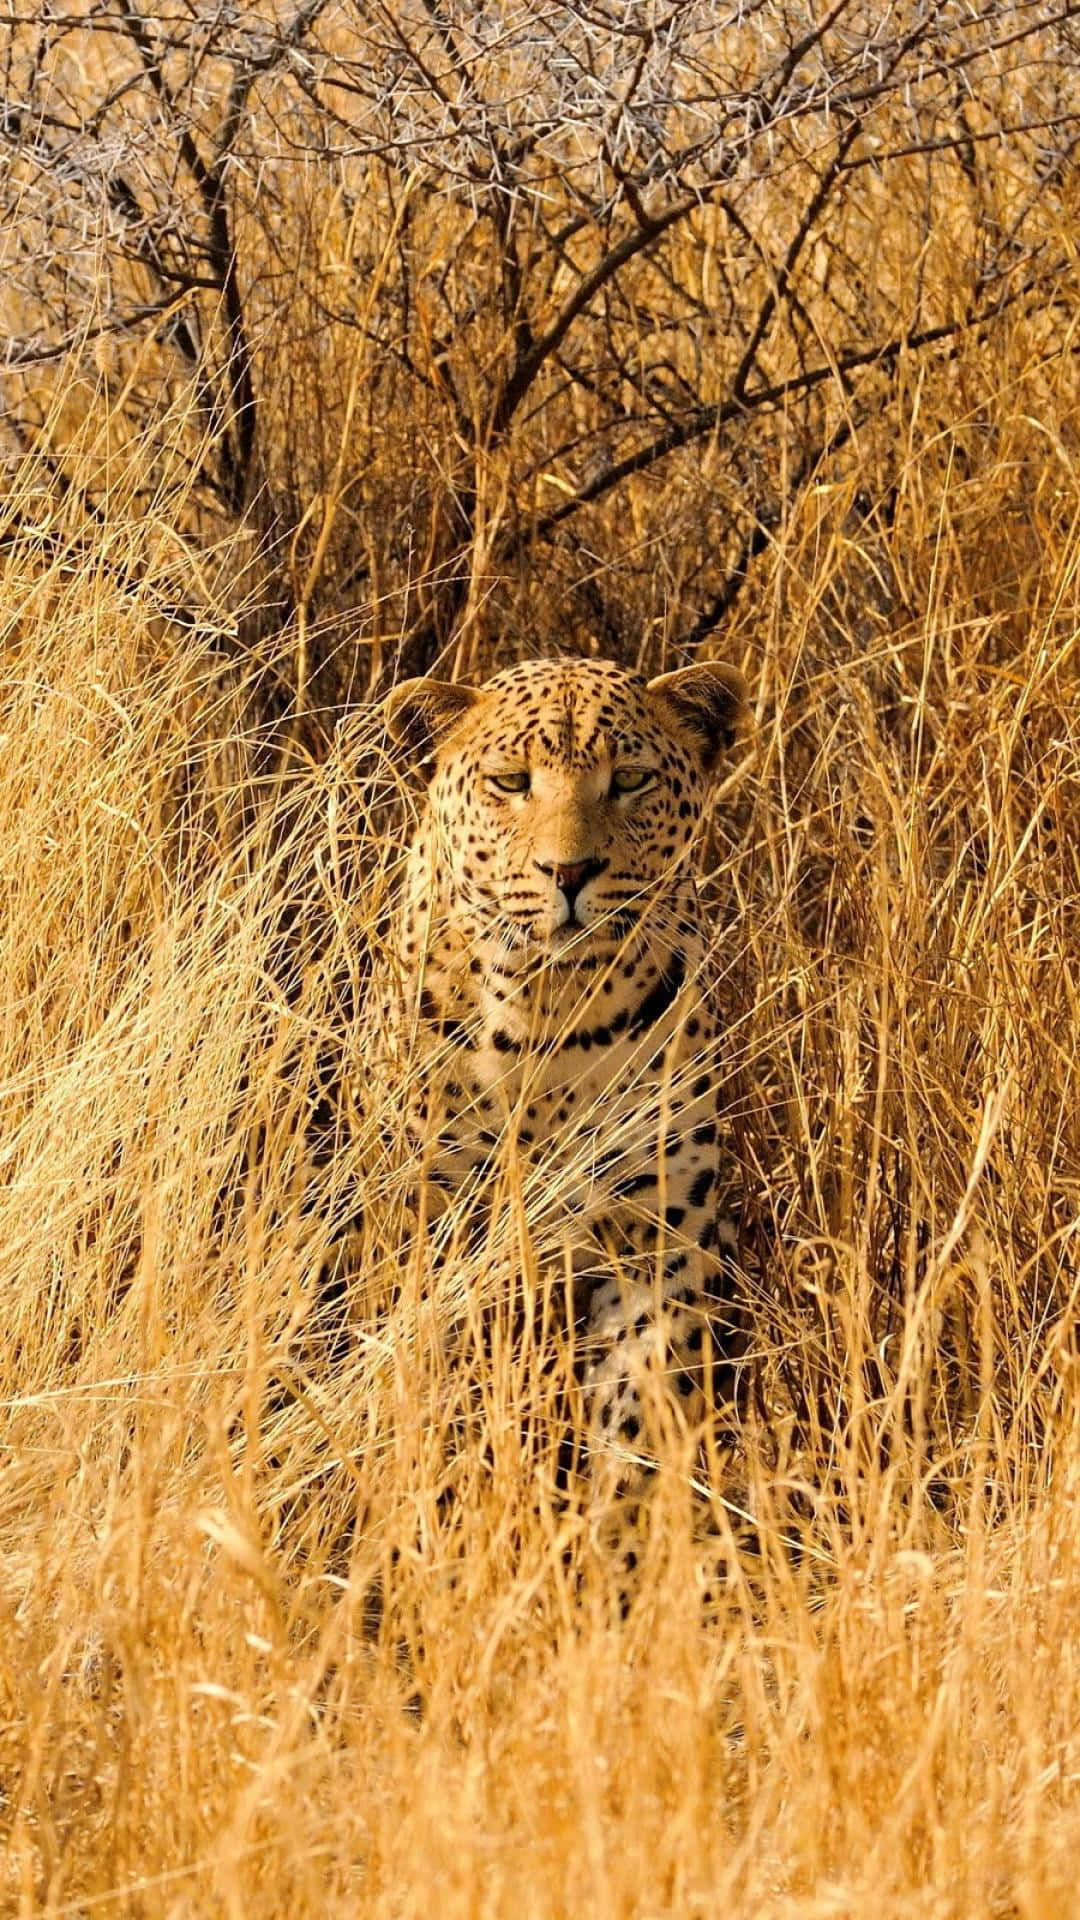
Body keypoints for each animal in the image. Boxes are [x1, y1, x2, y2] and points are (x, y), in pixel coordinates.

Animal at [373, 653, 749, 1608]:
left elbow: (638, 1427)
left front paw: (616, 1587)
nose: (569, 873)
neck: (552, 1013)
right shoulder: (435, 1228)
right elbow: (447, 1405)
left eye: (631, 781)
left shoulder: (656, 1236)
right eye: (512, 783)